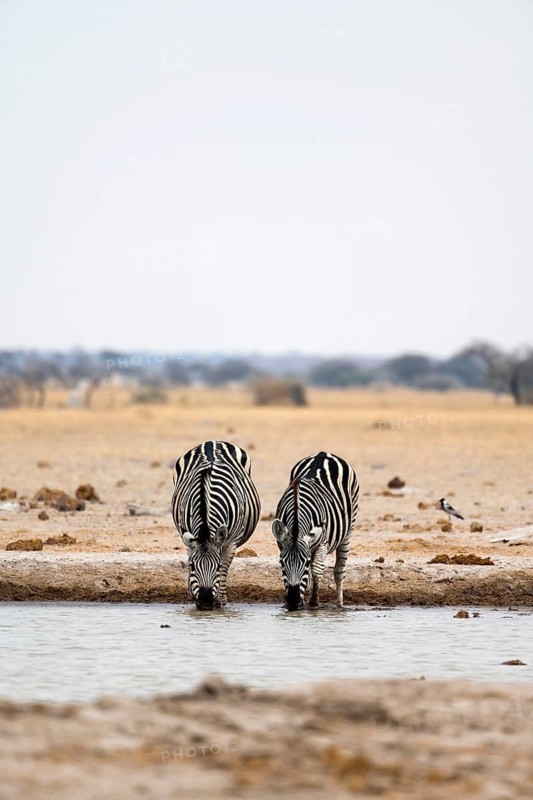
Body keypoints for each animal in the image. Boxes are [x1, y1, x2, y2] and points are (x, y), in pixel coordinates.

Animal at [172, 440, 260, 610]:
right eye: (192, 567)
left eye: (217, 567)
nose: (205, 601)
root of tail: (212, 442)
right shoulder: (187, 537)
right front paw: (192, 593)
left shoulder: (231, 542)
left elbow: (225, 568)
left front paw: (220, 600)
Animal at [272, 451, 359, 611]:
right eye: (281, 563)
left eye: (305, 564)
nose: (293, 602)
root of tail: (324, 454)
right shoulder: (282, 543)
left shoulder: (323, 542)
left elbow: (317, 569)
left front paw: (313, 602)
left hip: (348, 532)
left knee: (339, 570)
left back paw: (340, 605)